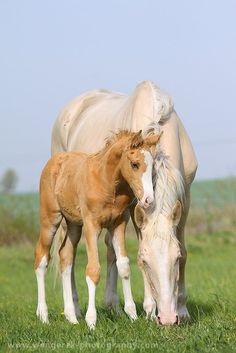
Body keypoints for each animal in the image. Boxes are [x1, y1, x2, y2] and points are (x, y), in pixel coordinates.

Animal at [34, 129, 160, 328]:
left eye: (153, 166)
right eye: (134, 164)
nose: (148, 200)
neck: (106, 182)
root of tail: (54, 160)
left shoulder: (118, 224)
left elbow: (123, 266)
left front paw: (132, 315)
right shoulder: (91, 226)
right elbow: (93, 270)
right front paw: (91, 321)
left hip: (74, 224)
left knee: (65, 256)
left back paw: (71, 317)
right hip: (50, 218)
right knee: (42, 257)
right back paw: (43, 316)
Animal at [51, 81, 197, 326]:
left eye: (175, 259)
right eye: (145, 262)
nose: (167, 318)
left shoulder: (184, 197)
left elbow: (184, 250)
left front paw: (183, 309)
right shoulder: (136, 206)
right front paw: (149, 310)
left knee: (110, 249)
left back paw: (114, 307)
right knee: (68, 252)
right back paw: (76, 310)